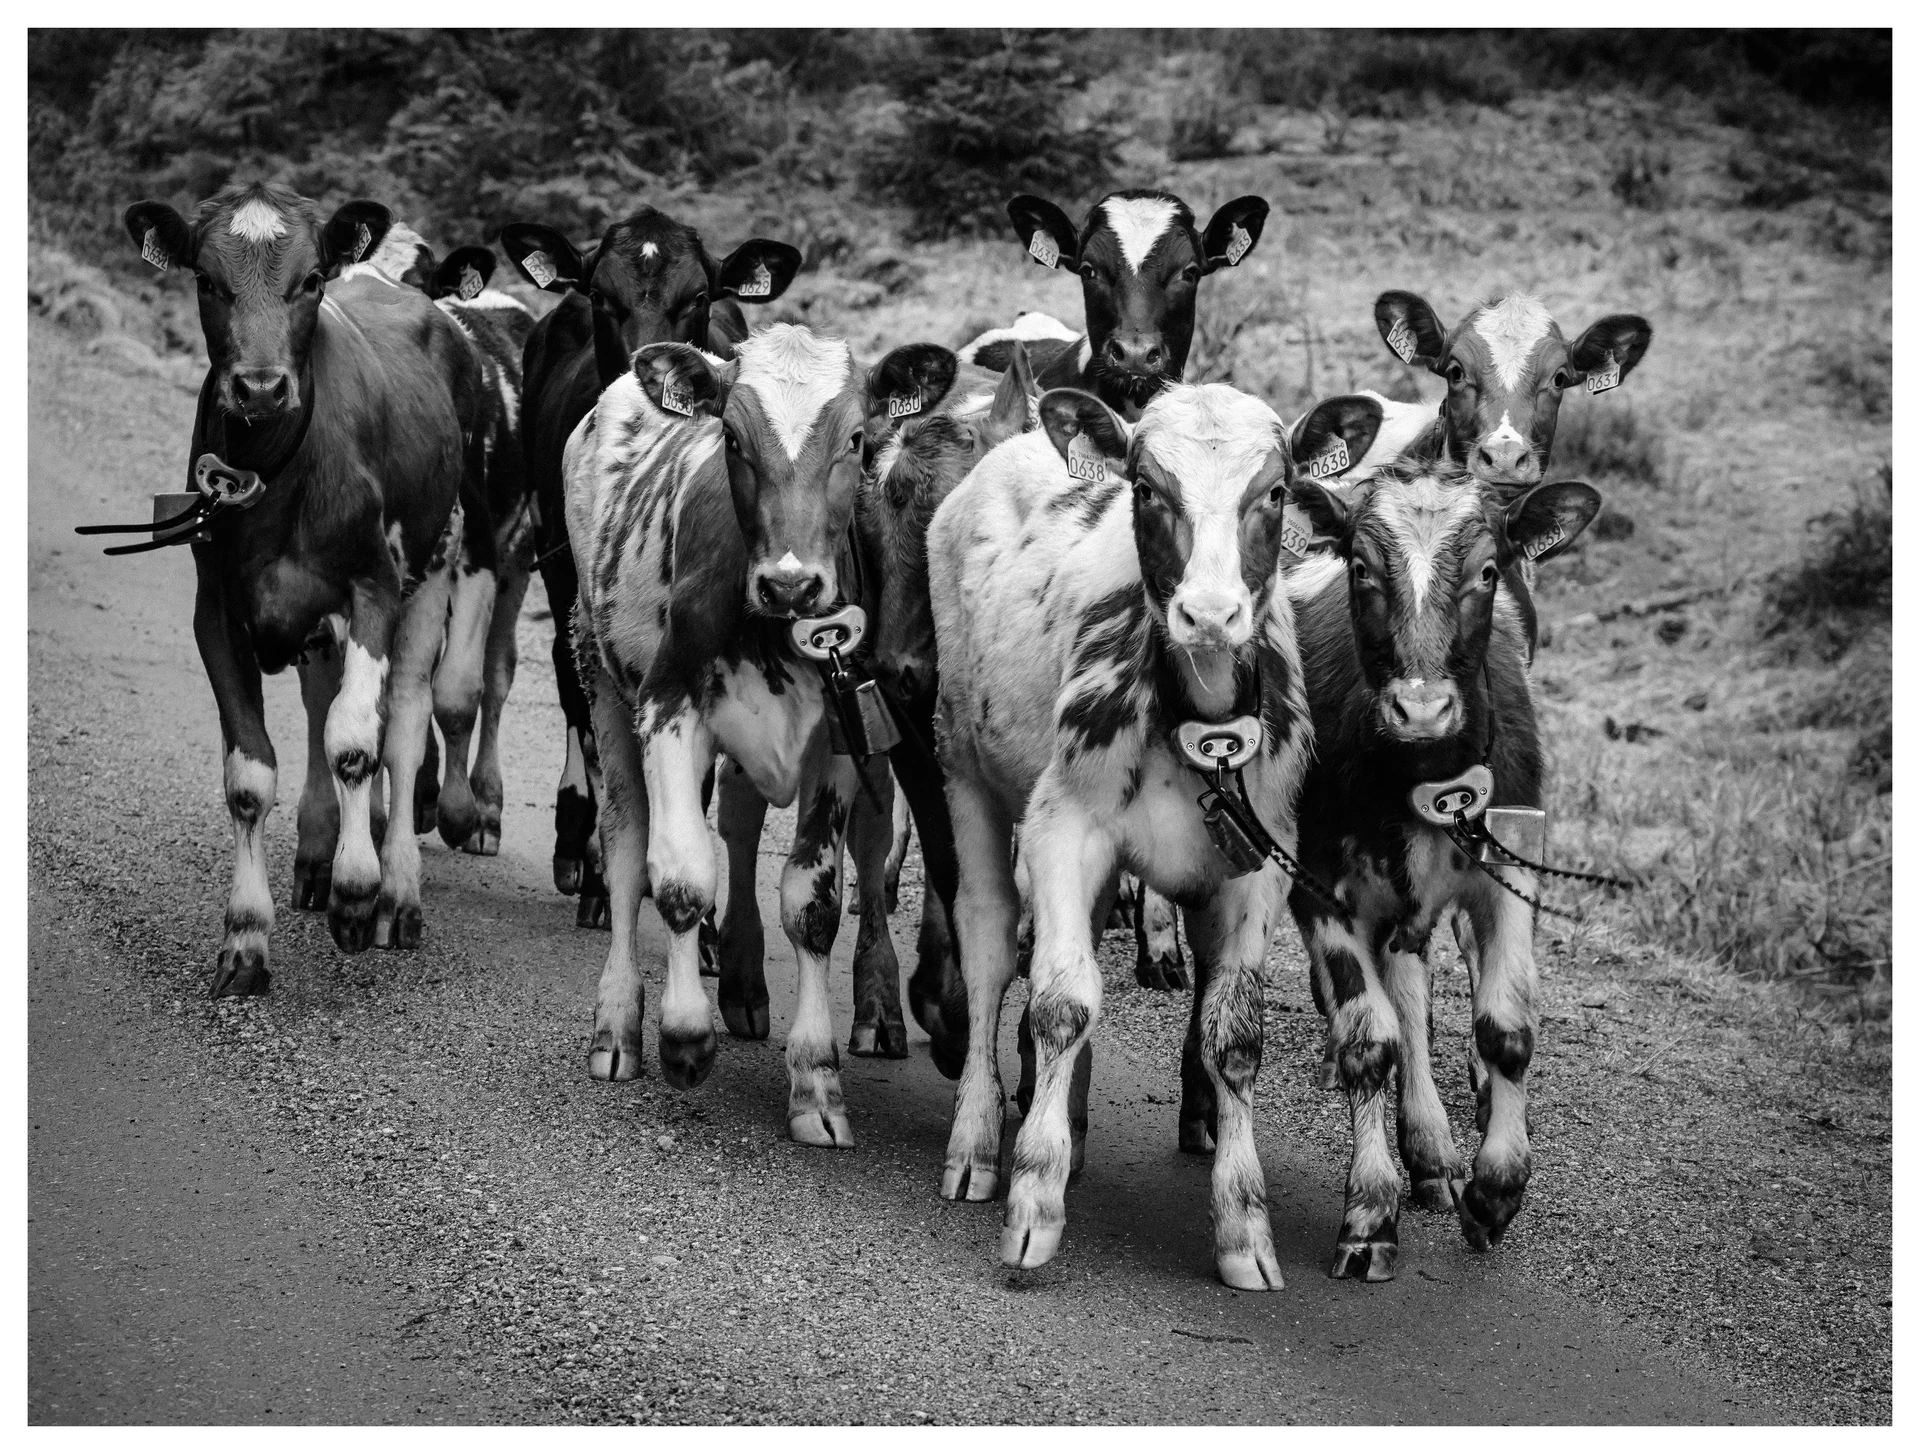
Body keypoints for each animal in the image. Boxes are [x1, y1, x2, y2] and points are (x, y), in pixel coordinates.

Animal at [119, 183, 482, 992]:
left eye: (311, 280)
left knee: (403, 724)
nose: (259, 385)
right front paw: (247, 937)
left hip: (435, 565)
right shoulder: (216, 612)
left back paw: (396, 891)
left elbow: (355, 741)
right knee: (322, 703)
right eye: (206, 280)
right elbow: (251, 774)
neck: (276, 473)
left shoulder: (374, 586)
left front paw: (358, 889)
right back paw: (318, 856)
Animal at [340, 227, 539, 856]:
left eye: (420, 284)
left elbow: (456, 693)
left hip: (518, 556)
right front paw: (392, 811)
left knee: (496, 674)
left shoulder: (477, 554)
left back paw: (486, 803)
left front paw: (460, 811)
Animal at [565, 322, 913, 1142]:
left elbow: (812, 906)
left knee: (751, 826)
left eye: (856, 437)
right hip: (600, 678)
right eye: (731, 436)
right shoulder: (667, 708)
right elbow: (683, 876)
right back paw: (618, 1023)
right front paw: (685, 1033)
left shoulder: (838, 743)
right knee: (626, 849)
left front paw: (816, 1082)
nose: (790, 583)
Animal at [926, 378, 1383, 1284]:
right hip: (964, 771)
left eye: (1273, 492)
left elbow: (1234, 1037)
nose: (1209, 614)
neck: (1193, 711)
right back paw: (979, 1140)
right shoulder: (1063, 827)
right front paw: (1034, 1200)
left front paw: (1244, 1228)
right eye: (1146, 489)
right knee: (990, 949)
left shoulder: (1258, 864)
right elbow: (1062, 1003)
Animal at [1248, 463, 1601, 1281]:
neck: (1422, 772)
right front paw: (1370, 1211)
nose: (1420, 709)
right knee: (1396, 1012)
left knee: (1416, 992)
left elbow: (1506, 1029)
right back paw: (1426, 1151)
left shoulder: (1510, 874)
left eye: (1488, 570)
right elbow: (1368, 1043)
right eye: (1360, 567)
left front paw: (1496, 1190)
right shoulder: (1322, 885)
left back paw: (1439, 1155)